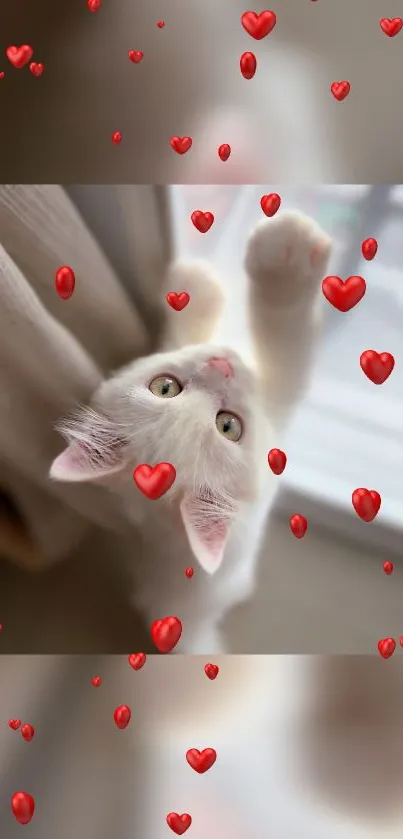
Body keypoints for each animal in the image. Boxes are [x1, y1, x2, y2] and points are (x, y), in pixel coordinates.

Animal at [49, 212, 332, 656]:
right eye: (229, 426)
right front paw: (285, 253)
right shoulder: (277, 400)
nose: (223, 364)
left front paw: (194, 286)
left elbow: (182, 333)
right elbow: (286, 339)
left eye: (165, 387)